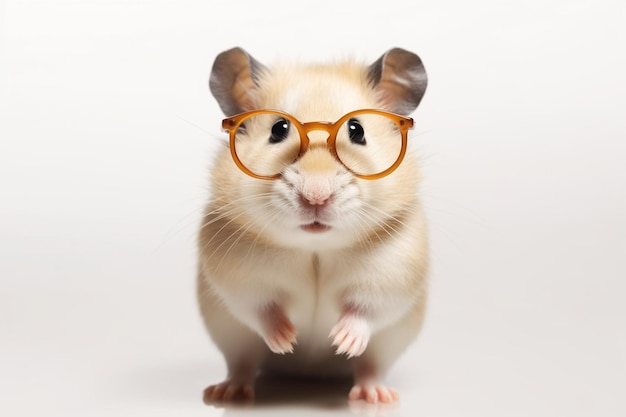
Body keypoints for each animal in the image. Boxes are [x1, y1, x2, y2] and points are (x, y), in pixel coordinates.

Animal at [197, 45, 426, 404]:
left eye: (357, 131)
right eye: (278, 130)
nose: (316, 197)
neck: (316, 247)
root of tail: (312, 374)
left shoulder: (392, 272)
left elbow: (366, 309)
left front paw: (341, 340)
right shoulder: (240, 276)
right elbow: (260, 307)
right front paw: (287, 339)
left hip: (390, 343)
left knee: (371, 365)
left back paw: (375, 395)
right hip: (231, 336)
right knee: (242, 363)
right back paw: (227, 392)